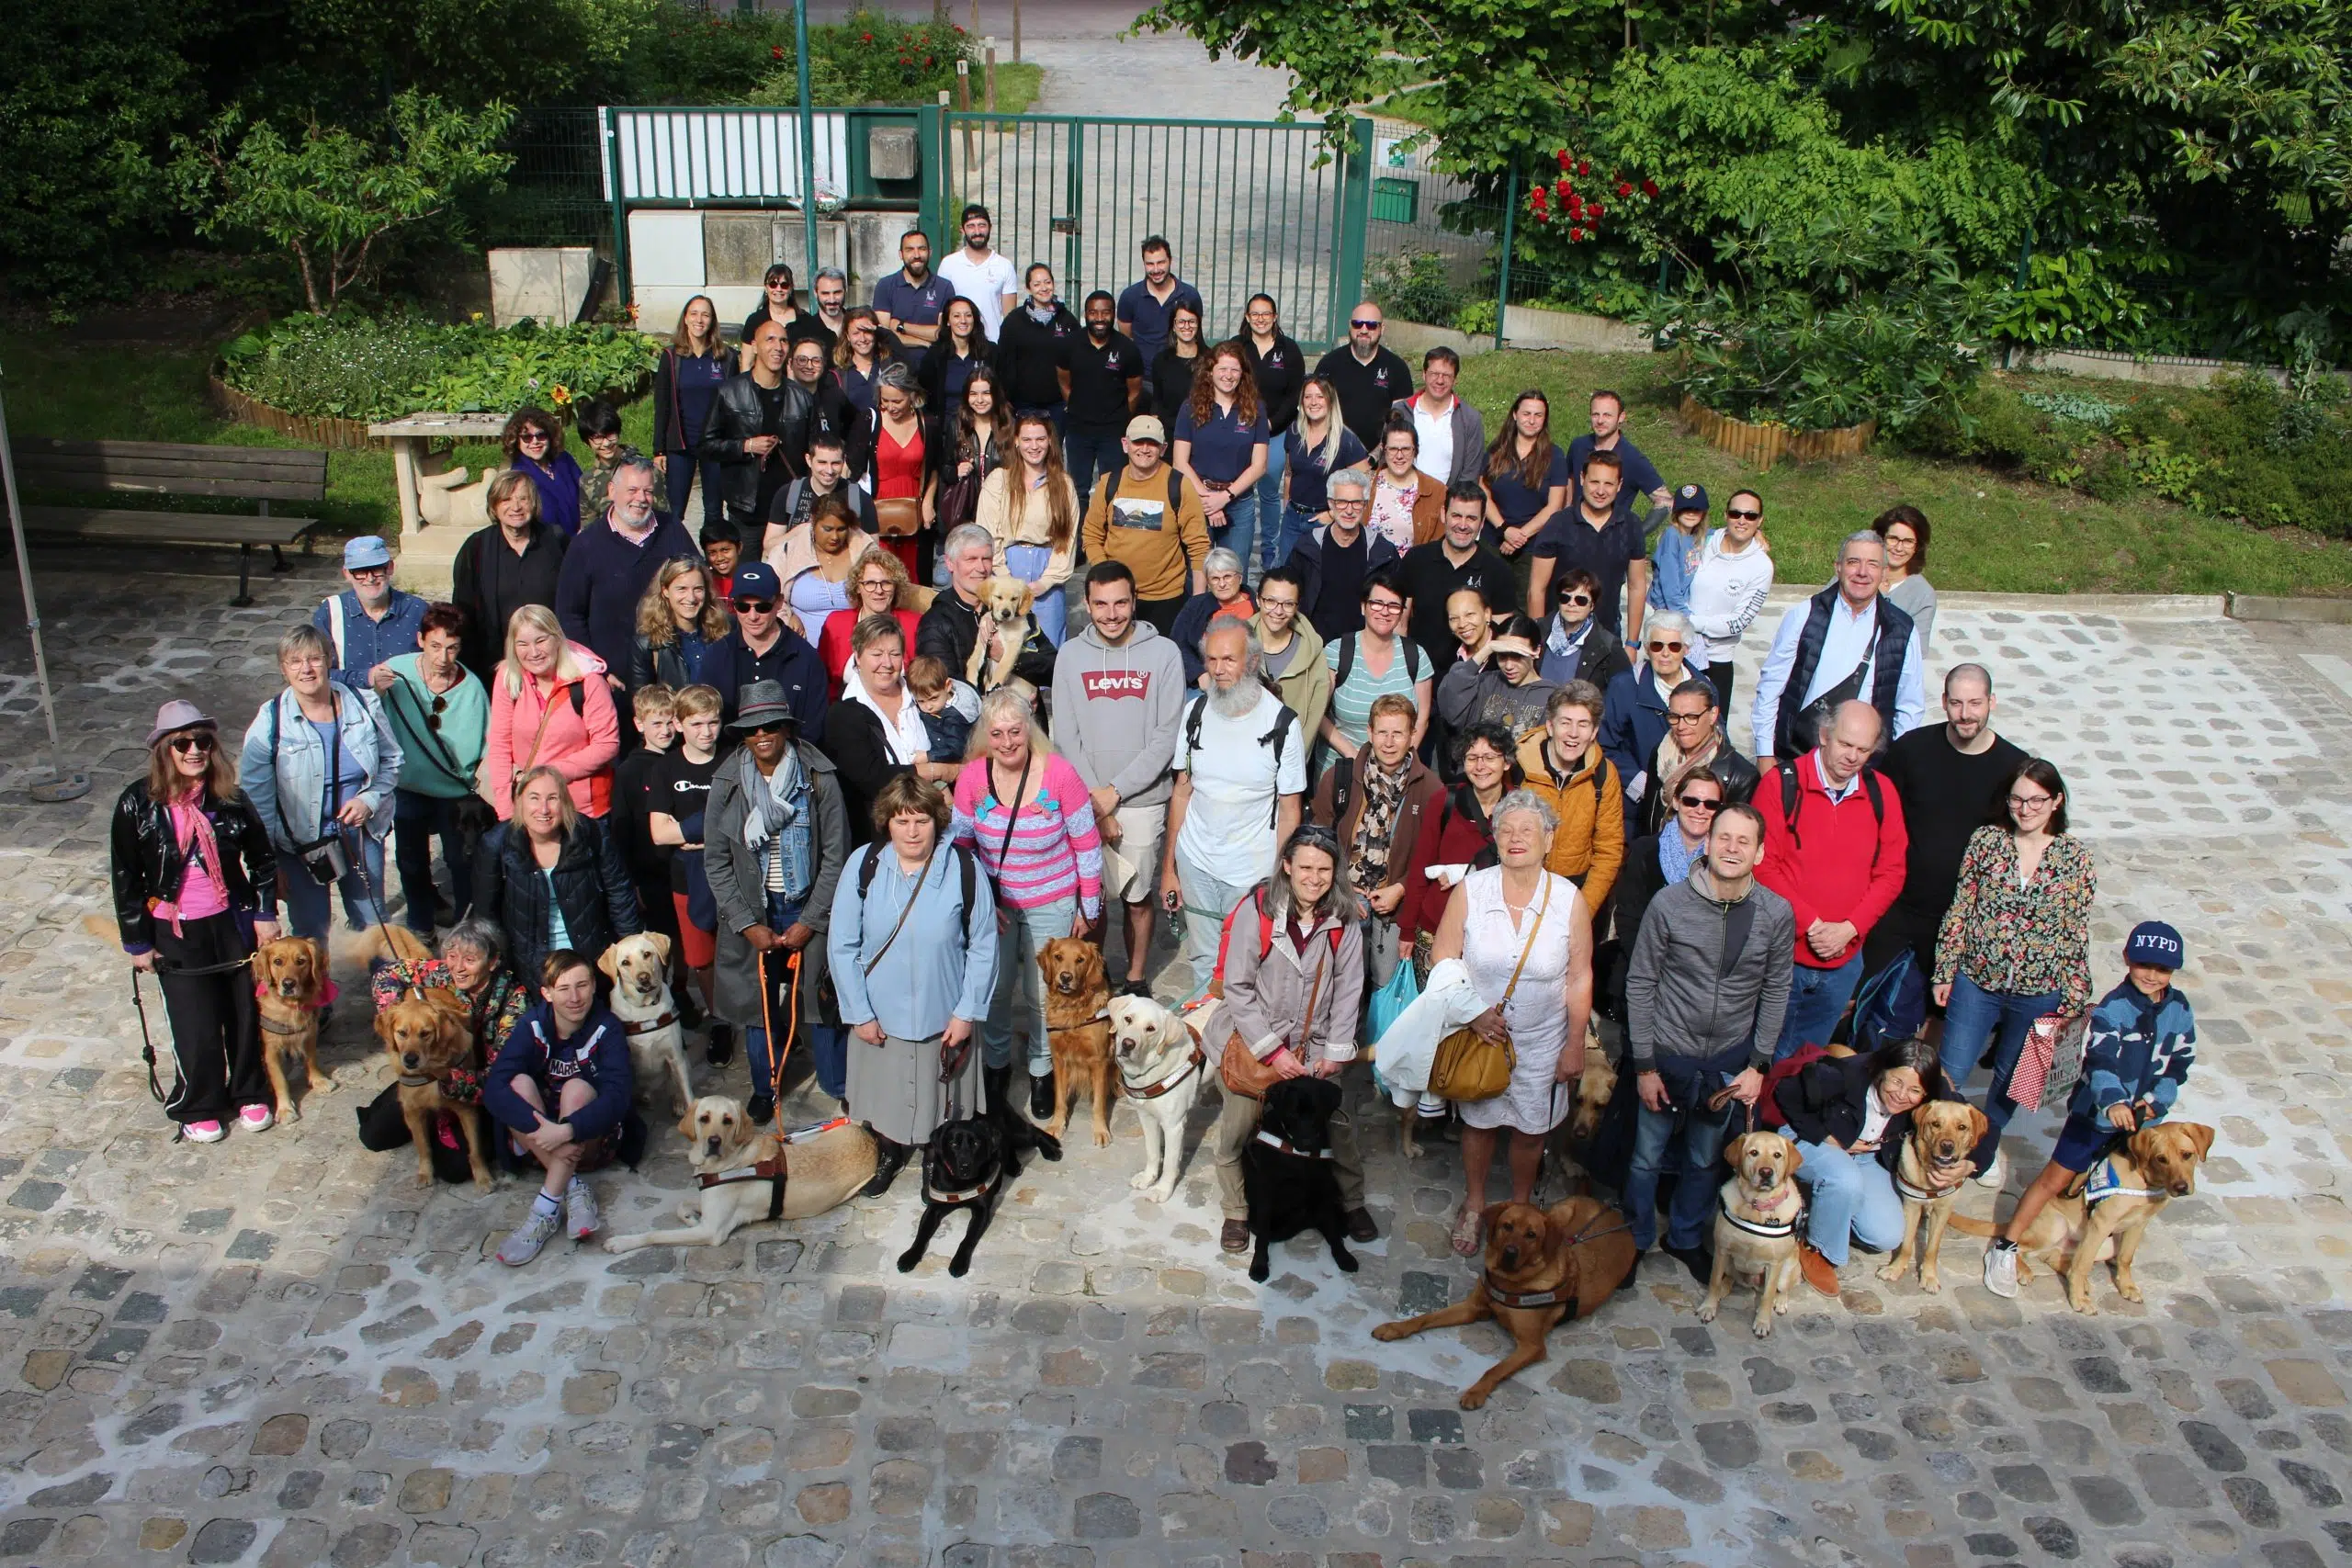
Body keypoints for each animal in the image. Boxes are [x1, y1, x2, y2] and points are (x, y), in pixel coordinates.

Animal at [898, 1086, 1068, 1279]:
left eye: (976, 1143)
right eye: (953, 1144)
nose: (965, 1166)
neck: (960, 1182)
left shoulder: (982, 1211)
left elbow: (967, 1239)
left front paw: (958, 1263)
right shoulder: (934, 1208)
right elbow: (921, 1235)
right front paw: (909, 1256)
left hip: (1016, 1133)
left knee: (1034, 1132)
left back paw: (1051, 1150)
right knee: (1008, 1146)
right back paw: (1013, 1165)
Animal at [1232, 1081, 1363, 1288]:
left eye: (1317, 1113)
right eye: (1293, 1114)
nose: (1308, 1142)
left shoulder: (1323, 1187)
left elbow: (1333, 1231)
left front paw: (1344, 1256)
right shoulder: (1266, 1192)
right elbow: (1262, 1237)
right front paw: (1259, 1266)